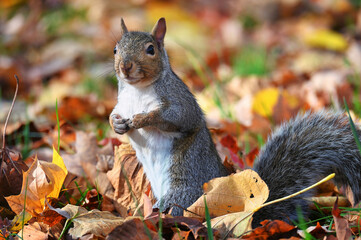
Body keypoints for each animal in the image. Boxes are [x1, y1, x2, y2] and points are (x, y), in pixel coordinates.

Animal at [109, 18, 360, 225]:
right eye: (115, 49)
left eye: (150, 49)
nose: (125, 66)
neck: (137, 91)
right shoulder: (122, 105)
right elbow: (116, 116)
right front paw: (117, 124)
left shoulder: (179, 101)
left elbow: (177, 118)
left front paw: (143, 118)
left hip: (183, 187)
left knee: (176, 208)